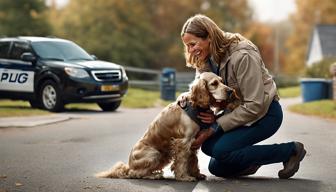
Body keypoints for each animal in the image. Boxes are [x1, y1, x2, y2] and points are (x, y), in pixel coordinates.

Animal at [96, 72, 240, 182]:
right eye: (214, 83)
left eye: (222, 81)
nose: (230, 91)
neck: (195, 105)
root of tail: (129, 164)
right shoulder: (183, 141)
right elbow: (182, 162)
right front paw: (184, 177)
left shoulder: (193, 142)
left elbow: (193, 160)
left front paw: (196, 174)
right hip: (154, 154)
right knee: (135, 174)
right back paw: (155, 176)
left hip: (163, 156)